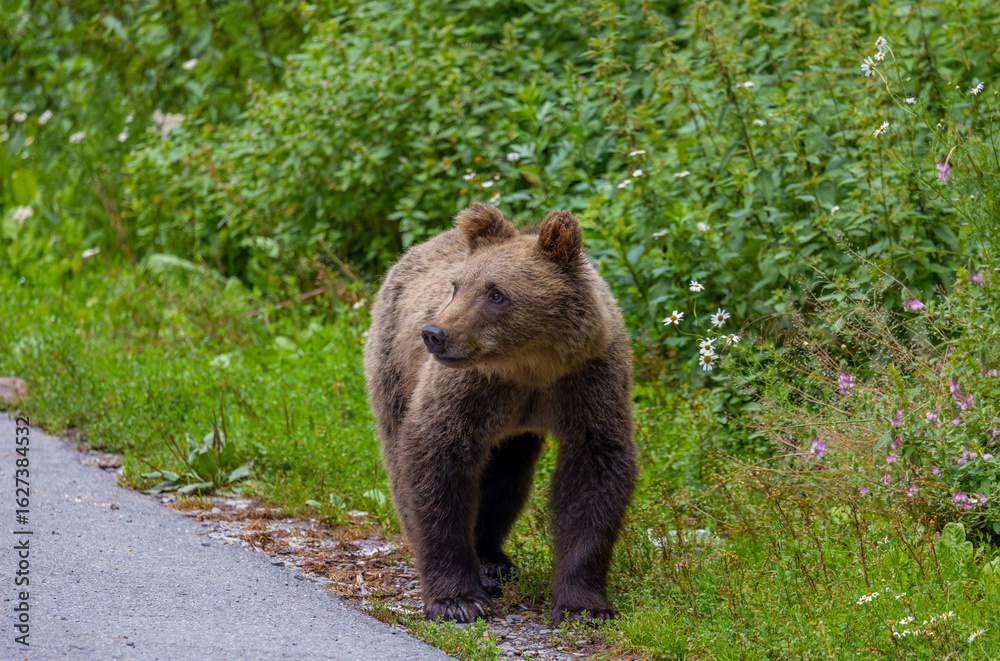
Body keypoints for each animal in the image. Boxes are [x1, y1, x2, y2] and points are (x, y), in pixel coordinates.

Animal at [363, 202, 637, 624]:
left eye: (496, 293)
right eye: (457, 286)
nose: (434, 334)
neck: (530, 366)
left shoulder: (588, 383)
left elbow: (594, 474)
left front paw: (584, 605)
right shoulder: (471, 389)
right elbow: (435, 462)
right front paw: (458, 600)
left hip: (515, 431)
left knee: (507, 475)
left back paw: (492, 559)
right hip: (393, 365)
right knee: (401, 461)